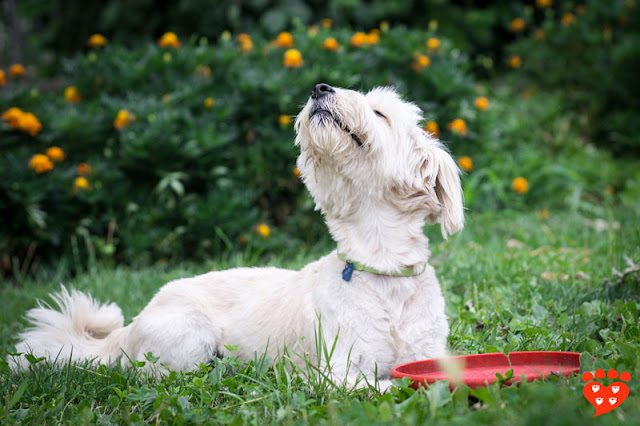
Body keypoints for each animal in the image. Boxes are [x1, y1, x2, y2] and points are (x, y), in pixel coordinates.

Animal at [10, 84, 462, 386]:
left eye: (379, 112)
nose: (320, 88)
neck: (383, 274)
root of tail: (130, 326)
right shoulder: (338, 373)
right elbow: (385, 384)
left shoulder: (430, 353)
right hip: (189, 338)